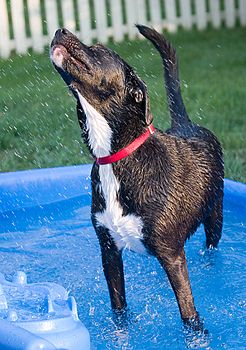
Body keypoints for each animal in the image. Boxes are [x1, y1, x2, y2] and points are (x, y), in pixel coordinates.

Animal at [49, 25, 223, 328]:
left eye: (99, 49)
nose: (60, 29)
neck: (115, 157)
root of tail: (186, 124)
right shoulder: (109, 251)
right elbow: (119, 308)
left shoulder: (172, 256)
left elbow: (188, 313)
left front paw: (197, 333)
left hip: (215, 217)